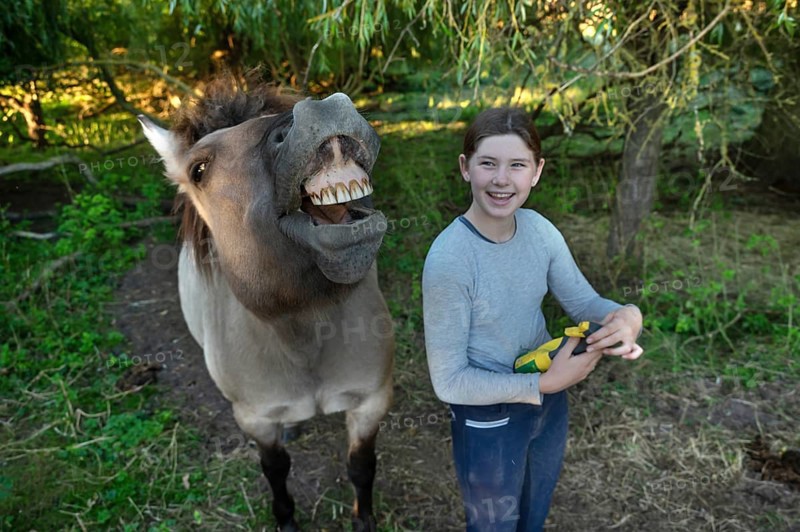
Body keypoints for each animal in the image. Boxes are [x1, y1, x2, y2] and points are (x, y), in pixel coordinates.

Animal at [138, 78, 394, 531]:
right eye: (198, 170)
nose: (322, 111)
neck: (303, 335)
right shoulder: (255, 419)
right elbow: (276, 471)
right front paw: (286, 520)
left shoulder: (371, 402)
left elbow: (362, 467)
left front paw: (363, 519)